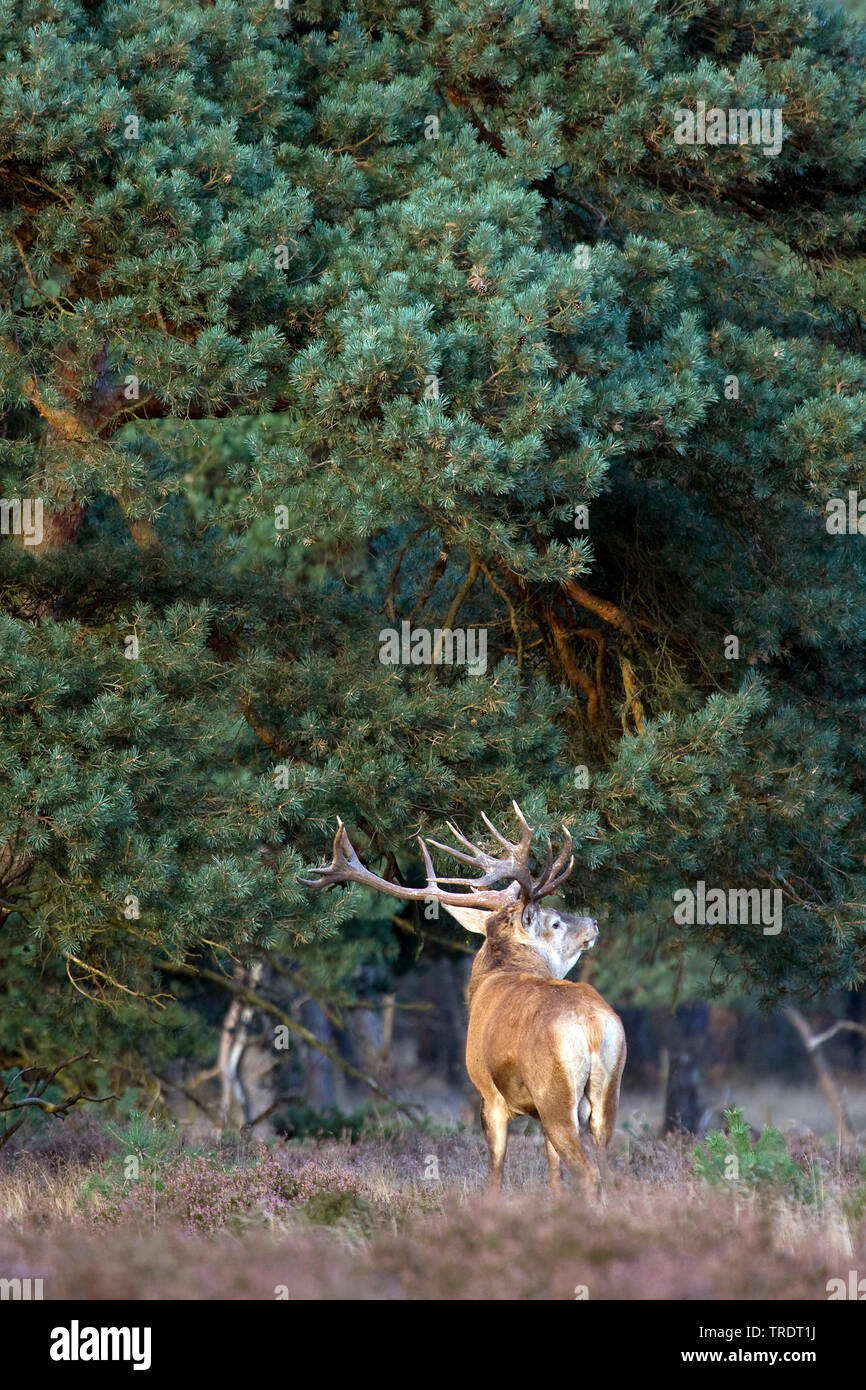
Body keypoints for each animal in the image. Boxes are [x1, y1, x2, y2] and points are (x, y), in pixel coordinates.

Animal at [301, 800, 625, 1189]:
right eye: (555, 922)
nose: (593, 923)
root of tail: (592, 1025)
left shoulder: (488, 1092)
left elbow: (495, 1174)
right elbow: (552, 1172)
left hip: (555, 1094)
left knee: (589, 1172)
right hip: (607, 1091)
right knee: (607, 1166)